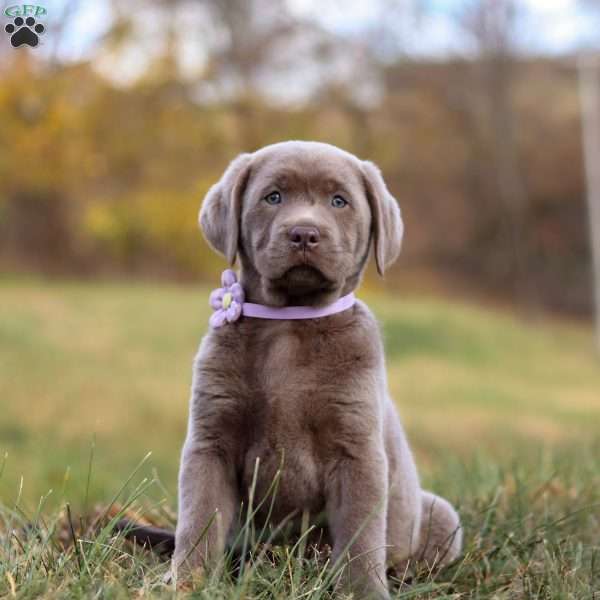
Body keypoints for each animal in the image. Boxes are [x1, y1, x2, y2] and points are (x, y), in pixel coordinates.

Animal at [171, 142, 462, 600]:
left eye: (339, 201)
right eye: (273, 197)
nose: (304, 233)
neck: (290, 324)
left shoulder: (358, 449)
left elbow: (361, 536)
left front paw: (363, 592)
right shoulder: (210, 439)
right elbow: (199, 518)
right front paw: (187, 582)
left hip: (442, 516)